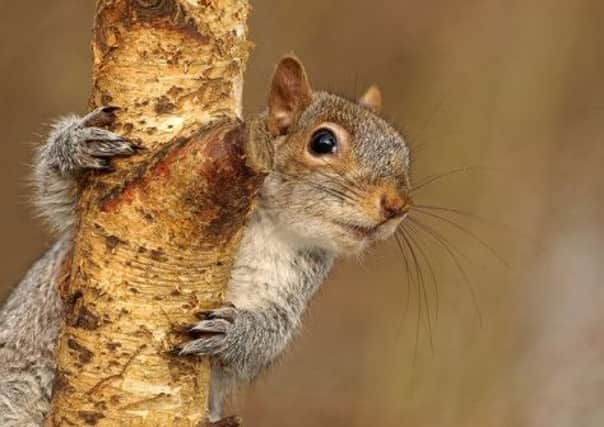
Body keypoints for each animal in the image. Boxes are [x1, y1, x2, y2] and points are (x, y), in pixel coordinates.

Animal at [0, 56, 410, 427]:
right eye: (323, 142)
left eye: (404, 154)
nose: (397, 205)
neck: (273, 223)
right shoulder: (85, 221)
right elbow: (59, 199)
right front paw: (76, 145)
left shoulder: (295, 281)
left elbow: (273, 332)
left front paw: (233, 333)